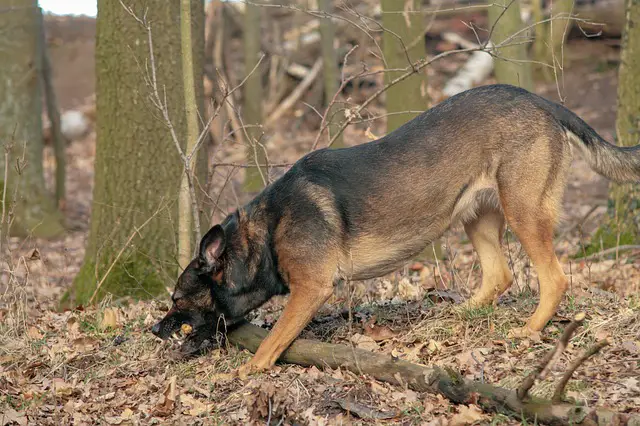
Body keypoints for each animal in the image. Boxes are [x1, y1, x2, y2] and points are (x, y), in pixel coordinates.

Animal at [151, 83, 640, 376]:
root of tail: (540, 100)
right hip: (476, 216)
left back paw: (529, 331)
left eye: (177, 299)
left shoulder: (310, 290)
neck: (264, 235)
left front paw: (248, 372)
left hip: (523, 212)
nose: (153, 331)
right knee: (500, 275)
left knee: (554, 278)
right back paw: (458, 314)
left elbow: (270, 343)